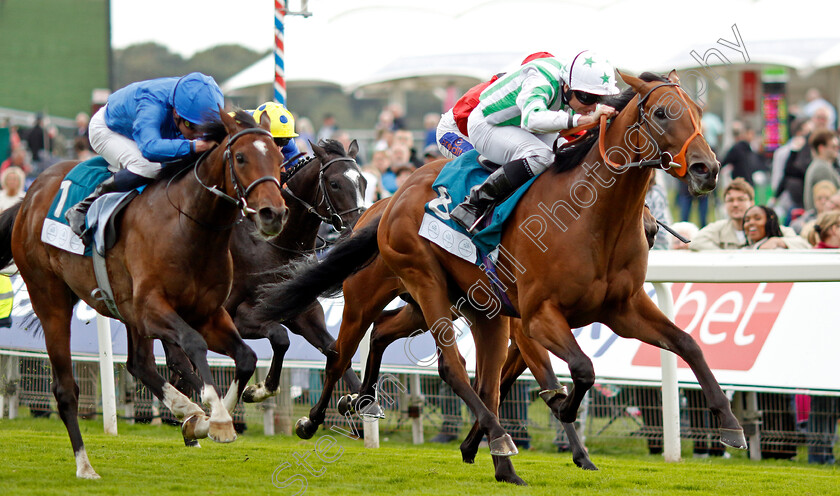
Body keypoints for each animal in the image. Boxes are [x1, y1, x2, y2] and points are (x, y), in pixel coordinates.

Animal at [0, 110, 288, 478]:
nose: (273, 214)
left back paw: (188, 411)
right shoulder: (154, 308)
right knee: (66, 390)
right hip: (51, 300)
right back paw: (85, 466)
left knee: (139, 363)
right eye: (240, 157)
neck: (188, 225)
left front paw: (210, 417)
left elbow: (246, 356)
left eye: (279, 158)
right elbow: (194, 343)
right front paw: (219, 418)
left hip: (127, 311)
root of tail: (28, 197)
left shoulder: (207, 313)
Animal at [258, 70, 748, 484]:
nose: (707, 169)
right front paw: (561, 414)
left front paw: (730, 426)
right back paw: (316, 421)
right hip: (403, 286)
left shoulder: (623, 309)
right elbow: (579, 371)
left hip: (471, 309)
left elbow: (687, 343)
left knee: (415, 345)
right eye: (663, 113)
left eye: (698, 111)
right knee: (378, 358)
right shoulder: (536, 317)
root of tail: (388, 203)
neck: (593, 218)